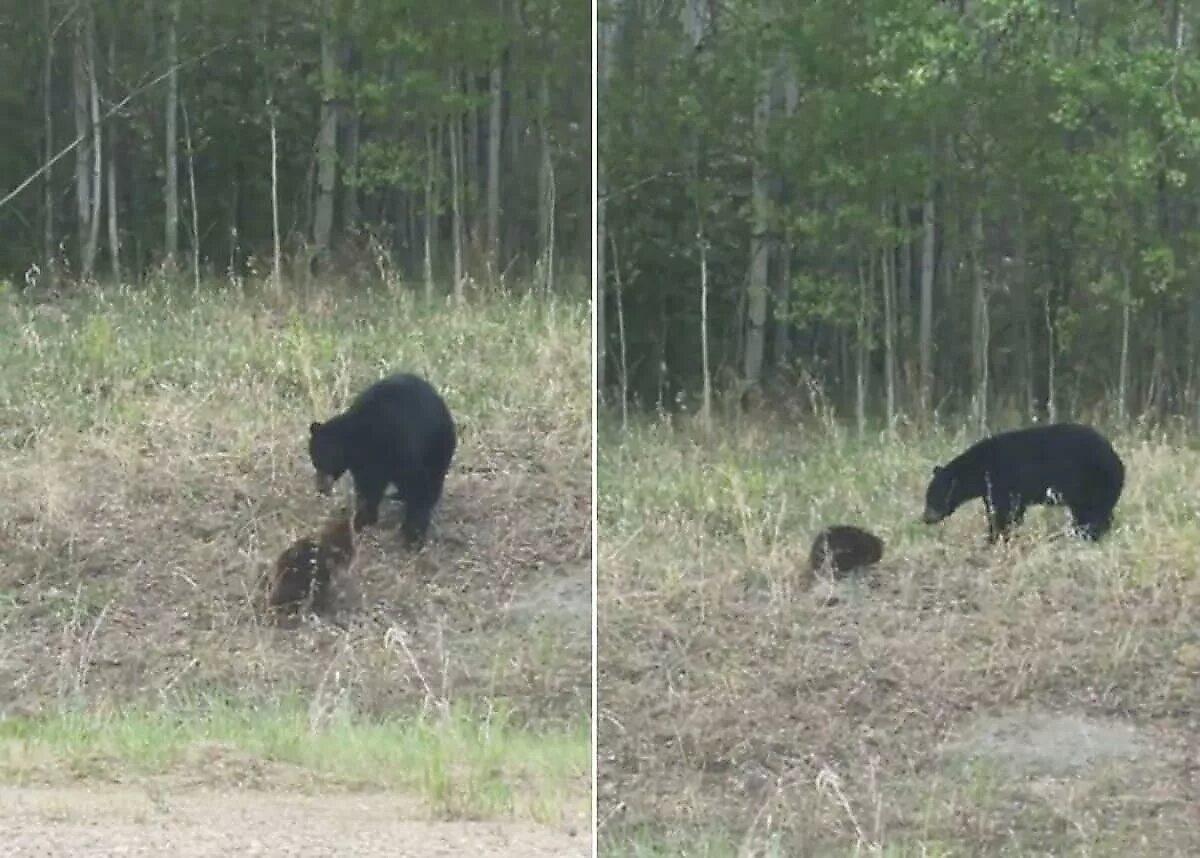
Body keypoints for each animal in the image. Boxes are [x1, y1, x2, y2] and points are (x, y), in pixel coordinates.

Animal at [307, 372, 456, 547]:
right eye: (314, 461)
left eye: (322, 461)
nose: (320, 488)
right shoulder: (365, 464)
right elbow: (368, 489)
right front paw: (362, 520)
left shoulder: (398, 444)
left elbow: (417, 482)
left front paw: (413, 536)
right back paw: (398, 495)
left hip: (437, 443)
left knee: (433, 476)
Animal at [916, 424, 1123, 544]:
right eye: (927, 496)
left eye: (933, 496)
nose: (926, 518)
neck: (981, 468)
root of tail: (1115, 457)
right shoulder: (992, 488)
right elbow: (997, 510)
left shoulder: (1005, 480)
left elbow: (1005, 513)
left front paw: (995, 538)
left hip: (1093, 481)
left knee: (1095, 513)